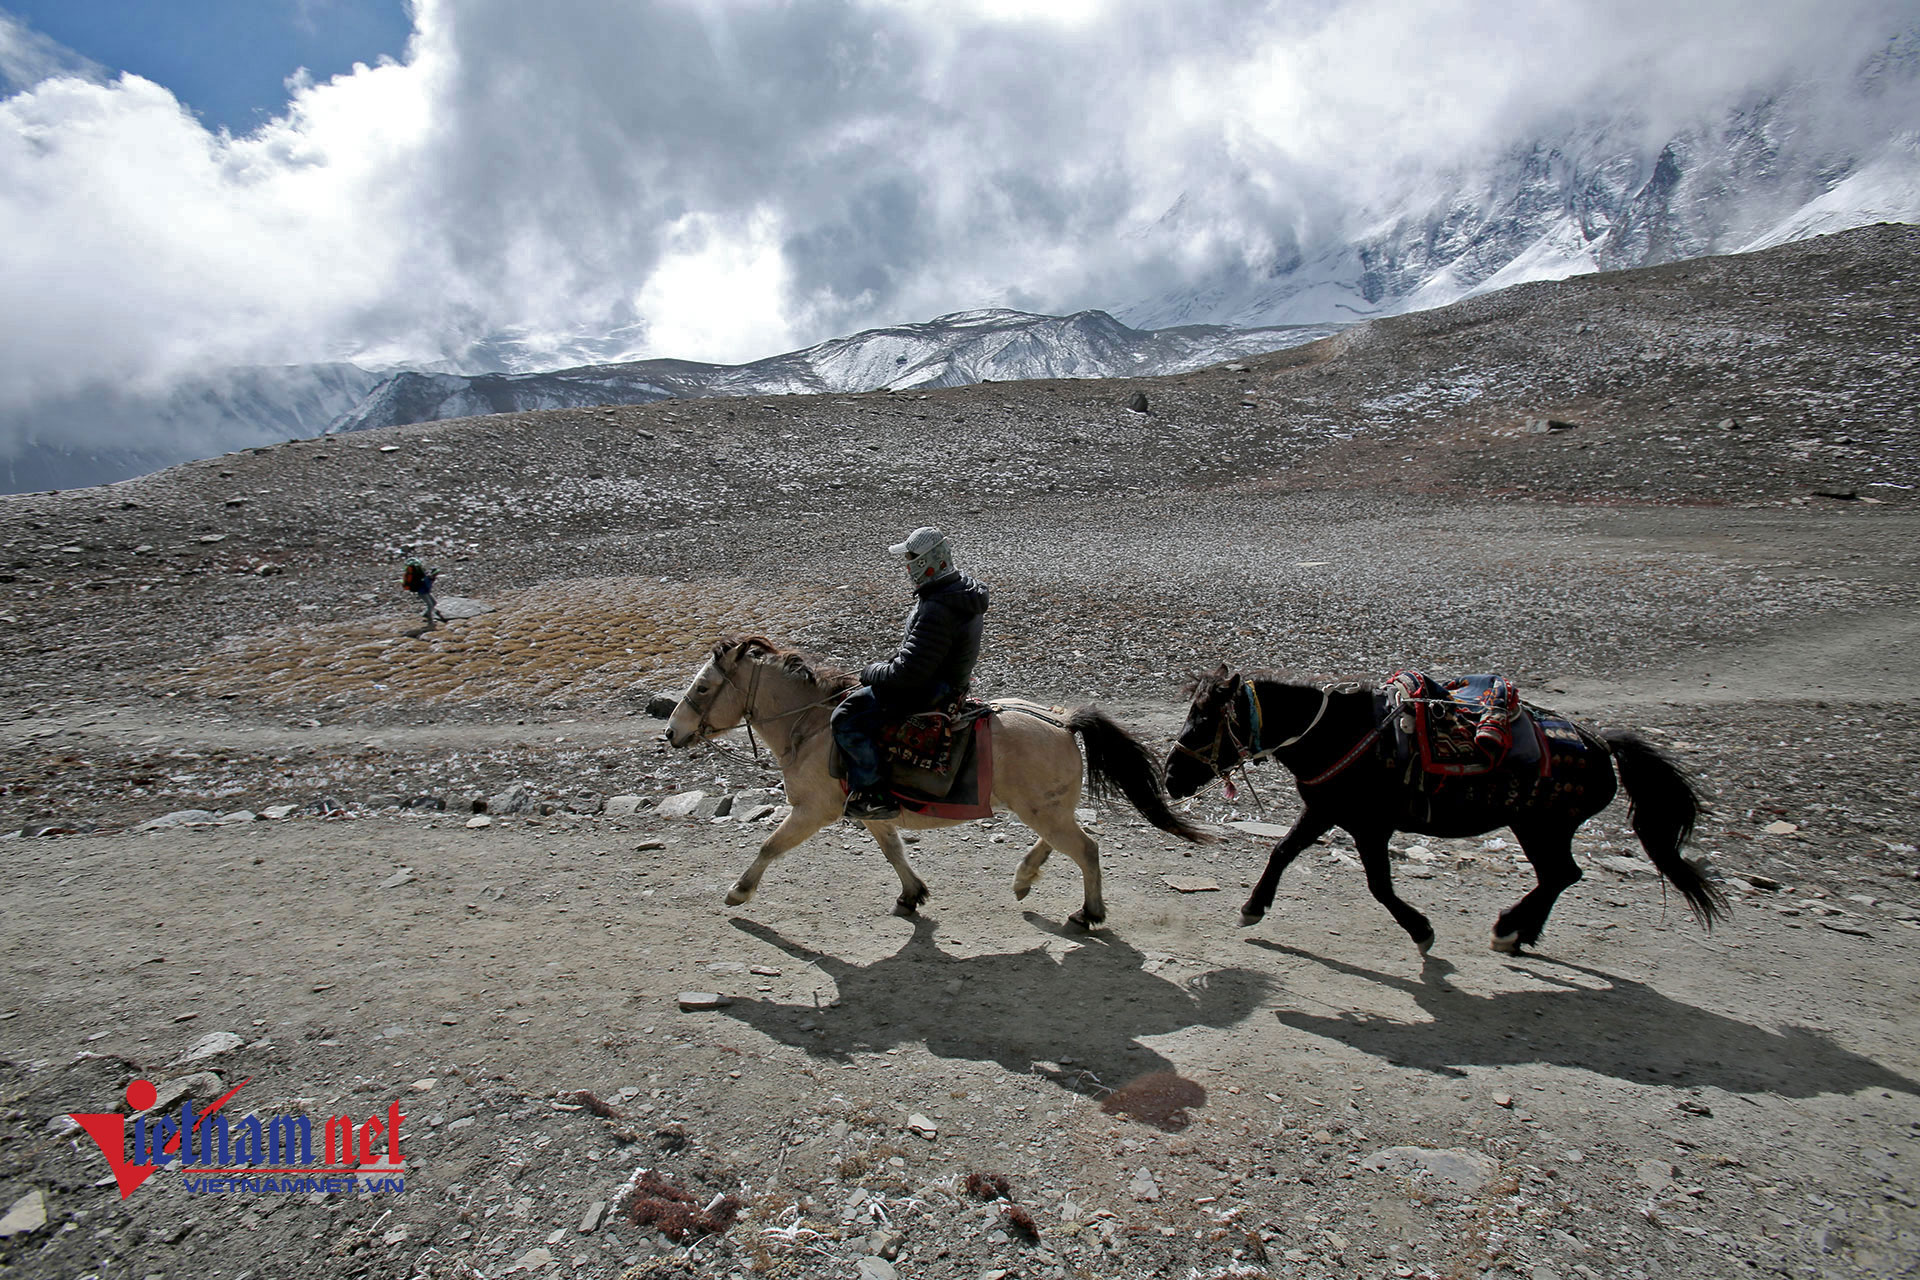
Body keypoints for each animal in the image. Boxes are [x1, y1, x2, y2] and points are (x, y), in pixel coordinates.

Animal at [668, 637, 1205, 924]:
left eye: (703, 687)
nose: (671, 731)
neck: (812, 726)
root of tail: (1062, 720)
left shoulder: (811, 810)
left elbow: (769, 847)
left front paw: (739, 892)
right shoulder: (868, 809)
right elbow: (893, 851)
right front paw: (912, 895)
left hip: (1044, 810)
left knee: (1087, 849)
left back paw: (1088, 914)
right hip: (1045, 807)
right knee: (1059, 843)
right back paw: (1023, 880)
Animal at [1159, 671, 1735, 951]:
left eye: (1205, 721)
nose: (1169, 777)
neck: (1334, 735)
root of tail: (1600, 744)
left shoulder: (1369, 825)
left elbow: (1379, 886)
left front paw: (1421, 930)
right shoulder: (1324, 810)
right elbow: (1280, 852)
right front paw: (1252, 908)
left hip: (1540, 825)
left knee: (1560, 874)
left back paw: (1509, 930)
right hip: (1539, 827)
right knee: (1561, 875)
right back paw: (1517, 934)